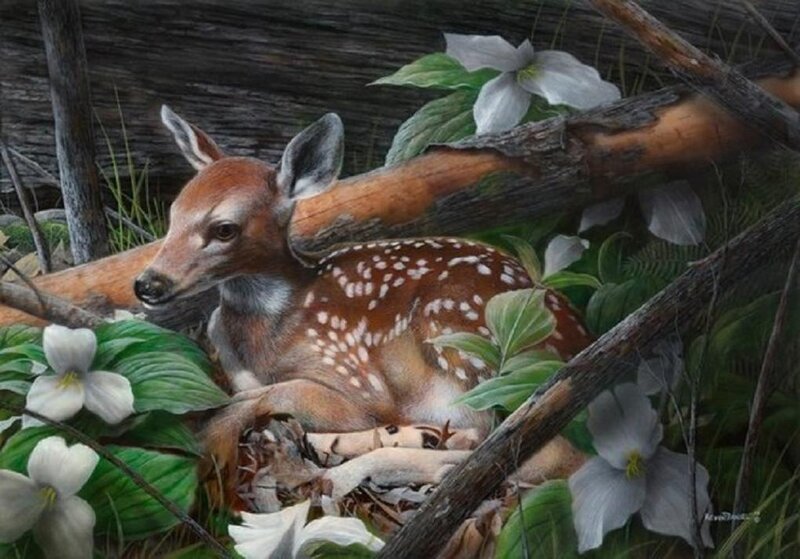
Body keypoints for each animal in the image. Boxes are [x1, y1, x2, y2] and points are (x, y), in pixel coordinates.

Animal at [134, 106, 593, 494]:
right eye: (173, 213)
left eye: (224, 229)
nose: (147, 285)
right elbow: (242, 392)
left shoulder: (356, 380)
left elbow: (271, 396)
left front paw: (211, 440)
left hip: (465, 339)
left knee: (538, 451)